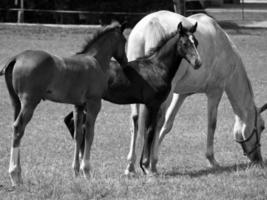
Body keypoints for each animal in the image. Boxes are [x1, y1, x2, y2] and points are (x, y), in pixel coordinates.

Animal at [0, 21, 129, 186]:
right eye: (124, 41)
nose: (125, 61)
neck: (95, 61)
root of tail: (16, 58)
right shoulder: (94, 103)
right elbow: (90, 134)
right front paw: (86, 171)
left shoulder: (78, 105)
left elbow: (78, 134)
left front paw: (76, 171)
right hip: (30, 102)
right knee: (18, 128)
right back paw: (14, 175)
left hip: (16, 102)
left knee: (17, 129)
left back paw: (19, 175)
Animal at [65, 20, 202, 175]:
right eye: (185, 44)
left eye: (196, 42)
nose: (198, 63)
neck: (157, 67)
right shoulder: (153, 104)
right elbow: (149, 131)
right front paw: (146, 166)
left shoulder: (151, 105)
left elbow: (148, 129)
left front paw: (144, 166)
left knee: (75, 125)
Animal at [126, 10, 267, 175]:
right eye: (262, 127)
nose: (258, 160)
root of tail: (150, 25)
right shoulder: (215, 92)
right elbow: (212, 124)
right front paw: (211, 160)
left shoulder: (181, 94)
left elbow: (168, 124)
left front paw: (153, 156)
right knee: (156, 121)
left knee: (136, 120)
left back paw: (131, 166)